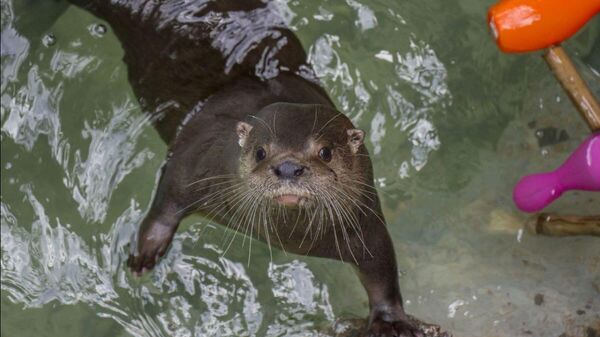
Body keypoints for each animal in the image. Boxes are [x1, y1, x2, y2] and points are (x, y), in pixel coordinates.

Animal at [69, 0, 426, 336]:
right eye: (260, 151)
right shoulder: (195, 158)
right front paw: (145, 251)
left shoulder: (364, 220)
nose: (288, 167)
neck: (290, 241)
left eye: (325, 152)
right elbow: (168, 198)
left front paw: (390, 321)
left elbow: (381, 268)